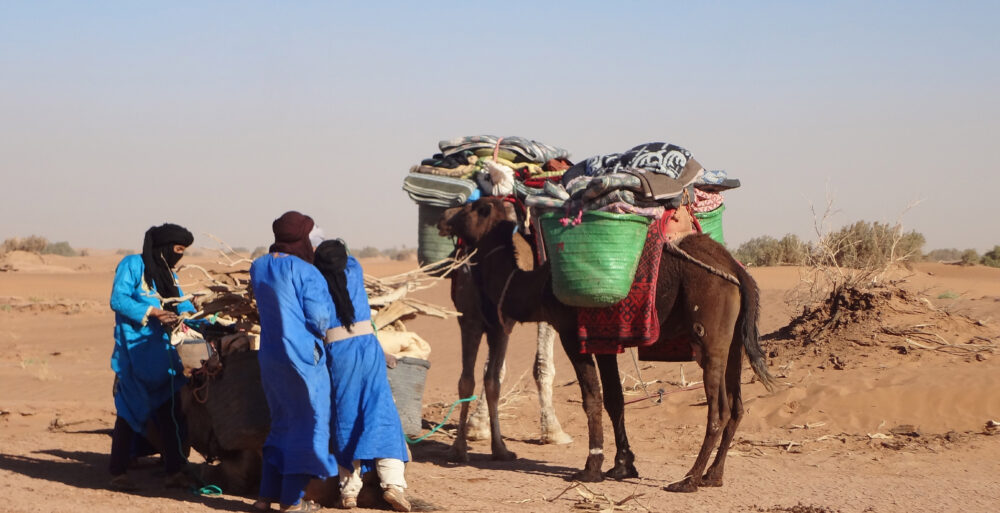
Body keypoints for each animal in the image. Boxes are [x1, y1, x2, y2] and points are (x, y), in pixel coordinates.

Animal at [442, 197, 776, 492]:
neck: (538, 286)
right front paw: (623, 465)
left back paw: (688, 480)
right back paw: (713, 476)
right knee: (736, 407)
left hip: (709, 332)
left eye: (476, 207)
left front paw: (591, 469)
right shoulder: (604, 340)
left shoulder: (572, 335)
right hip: (733, 343)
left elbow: (592, 399)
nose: (446, 216)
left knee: (717, 411)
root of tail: (737, 270)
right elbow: (615, 399)